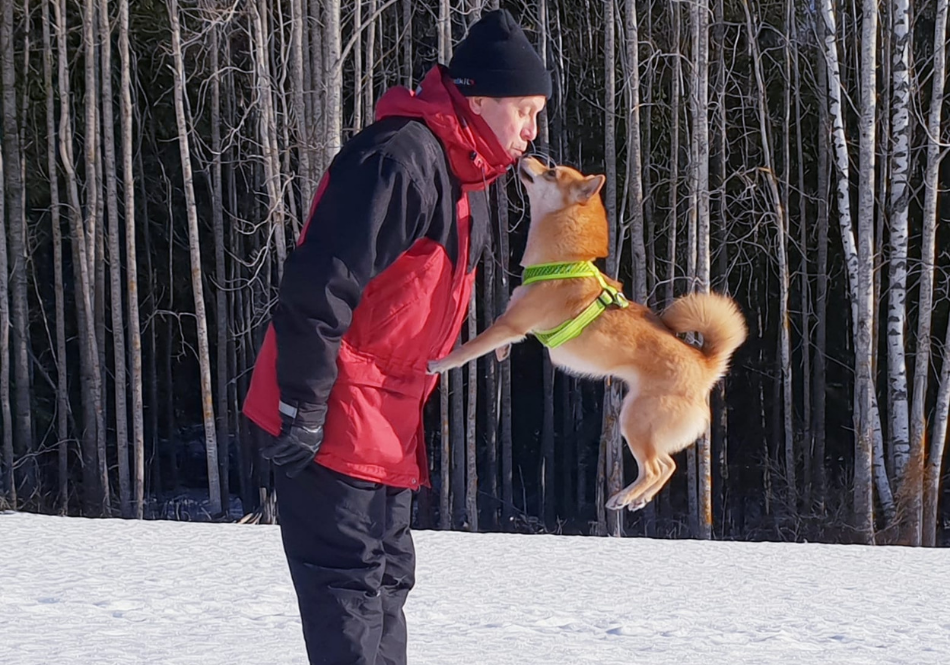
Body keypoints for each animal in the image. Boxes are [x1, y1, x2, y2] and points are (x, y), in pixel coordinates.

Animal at [432, 156, 752, 512]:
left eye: (552, 172)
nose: (525, 156)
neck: (561, 263)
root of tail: (705, 364)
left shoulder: (510, 323)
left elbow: (472, 347)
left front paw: (440, 363)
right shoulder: (514, 324)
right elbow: (500, 344)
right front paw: (500, 353)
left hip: (634, 420)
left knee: (656, 468)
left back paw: (622, 497)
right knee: (666, 465)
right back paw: (637, 499)